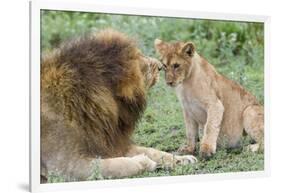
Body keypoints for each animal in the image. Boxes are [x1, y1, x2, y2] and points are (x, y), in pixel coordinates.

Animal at [40, 29, 196, 182]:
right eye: (140, 59)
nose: (160, 66)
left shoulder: (110, 143)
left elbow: (152, 151)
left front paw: (182, 159)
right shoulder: (65, 164)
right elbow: (117, 165)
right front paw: (144, 162)